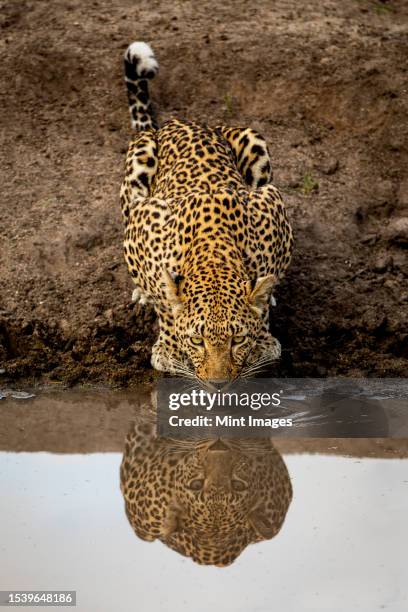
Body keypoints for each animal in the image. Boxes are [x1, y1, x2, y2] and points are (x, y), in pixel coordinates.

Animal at [118, 41, 294, 382]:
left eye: (237, 339)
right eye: (197, 341)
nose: (218, 383)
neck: (213, 251)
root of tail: (179, 122)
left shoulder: (272, 204)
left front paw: (263, 337)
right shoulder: (143, 220)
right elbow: (165, 300)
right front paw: (169, 348)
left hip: (254, 142)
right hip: (137, 164)